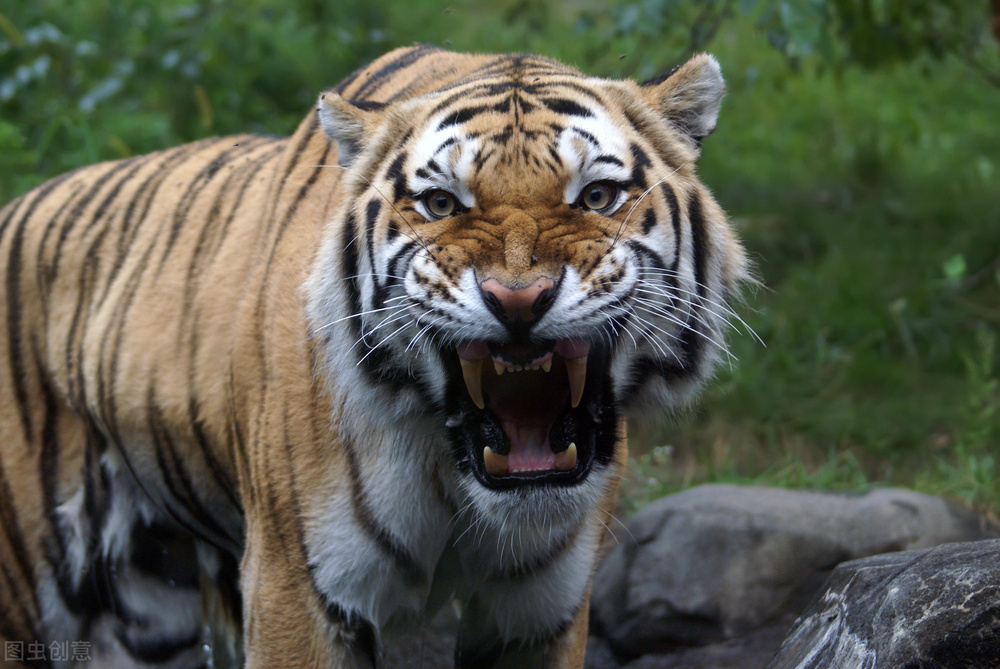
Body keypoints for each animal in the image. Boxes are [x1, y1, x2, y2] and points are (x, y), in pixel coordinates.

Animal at [0, 44, 744, 664]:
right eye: (441, 203)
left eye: (596, 196)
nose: (518, 299)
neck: (453, 472)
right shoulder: (295, 585)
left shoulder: (540, 609)